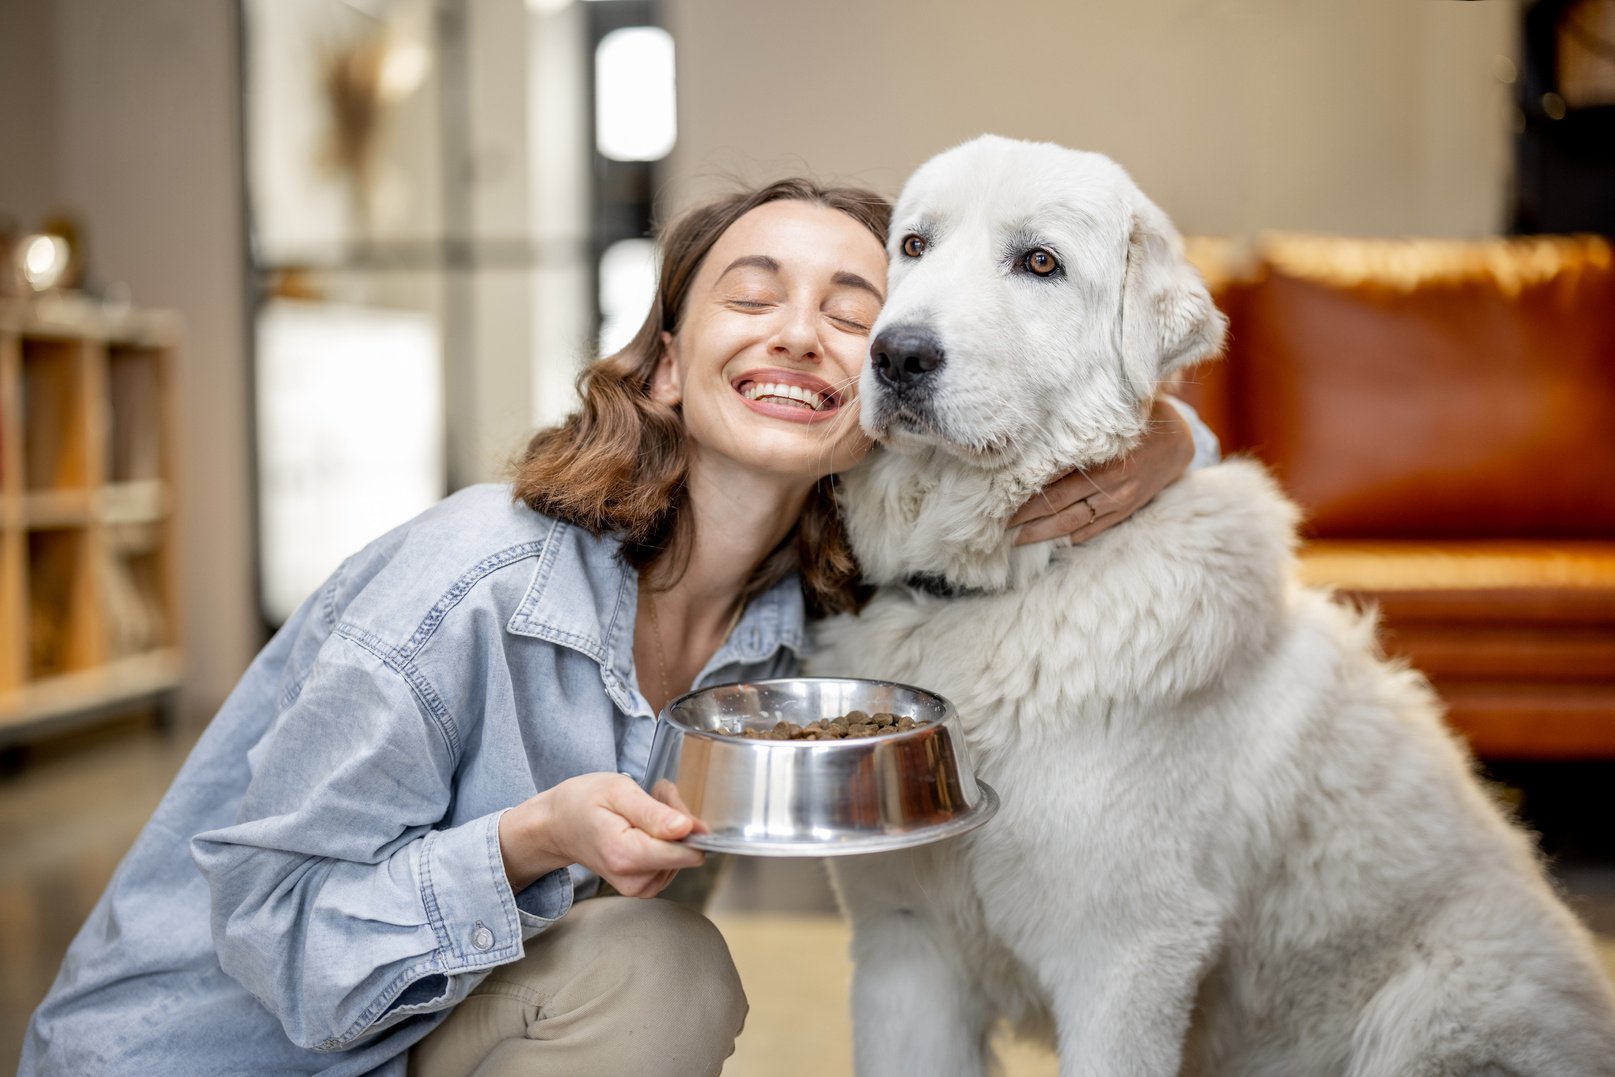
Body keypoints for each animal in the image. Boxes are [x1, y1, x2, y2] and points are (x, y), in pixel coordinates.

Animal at [813, 137, 1615, 1077]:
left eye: (1039, 263)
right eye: (913, 246)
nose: (897, 355)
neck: (1002, 585)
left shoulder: (1125, 957)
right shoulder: (907, 950)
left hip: (1432, 1011)